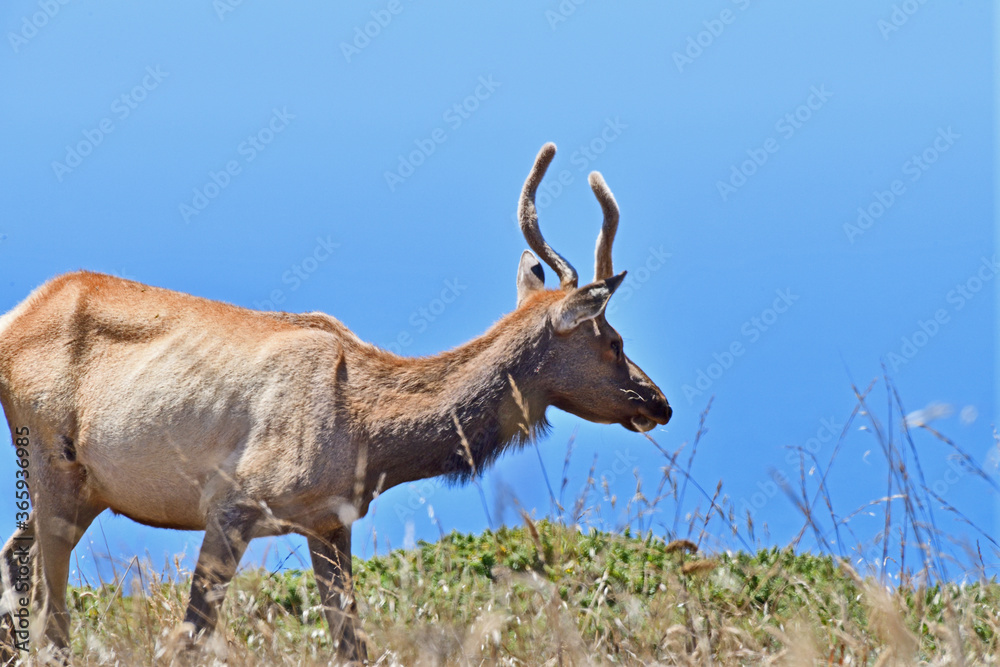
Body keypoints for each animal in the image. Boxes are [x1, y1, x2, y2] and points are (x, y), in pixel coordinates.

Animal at [0, 142, 672, 664]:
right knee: (52, 616)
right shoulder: (231, 503)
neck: (370, 437)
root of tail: (15, 317)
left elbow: (353, 646)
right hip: (51, 461)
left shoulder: (328, 522)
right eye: (613, 341)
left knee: (15, 559)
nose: (659, 402)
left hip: (88, 488)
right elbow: (188, 640)